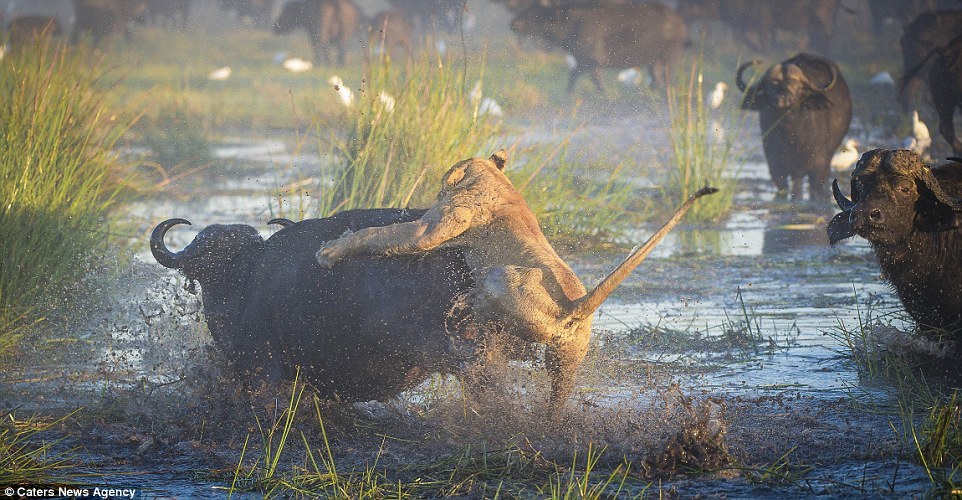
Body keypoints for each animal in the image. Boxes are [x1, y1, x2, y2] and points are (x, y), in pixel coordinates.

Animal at [506, 2, 688, 93]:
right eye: (526, 8)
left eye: (534, 11)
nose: (513, 23)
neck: (572, 25)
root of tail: (678, 21)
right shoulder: (583, 61)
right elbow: (573, 76)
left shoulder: (592, 62)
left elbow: (592, 81)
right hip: (654, 60)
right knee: (656, 77)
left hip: (669, 55)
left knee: (667, 76)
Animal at [736, 52, 848, 201]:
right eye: (770, 85)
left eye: (796, 84)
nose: (783, 100)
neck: (792, 136)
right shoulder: (775, 166)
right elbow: (785, 189)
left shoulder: (819, 167)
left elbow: (814, 190)